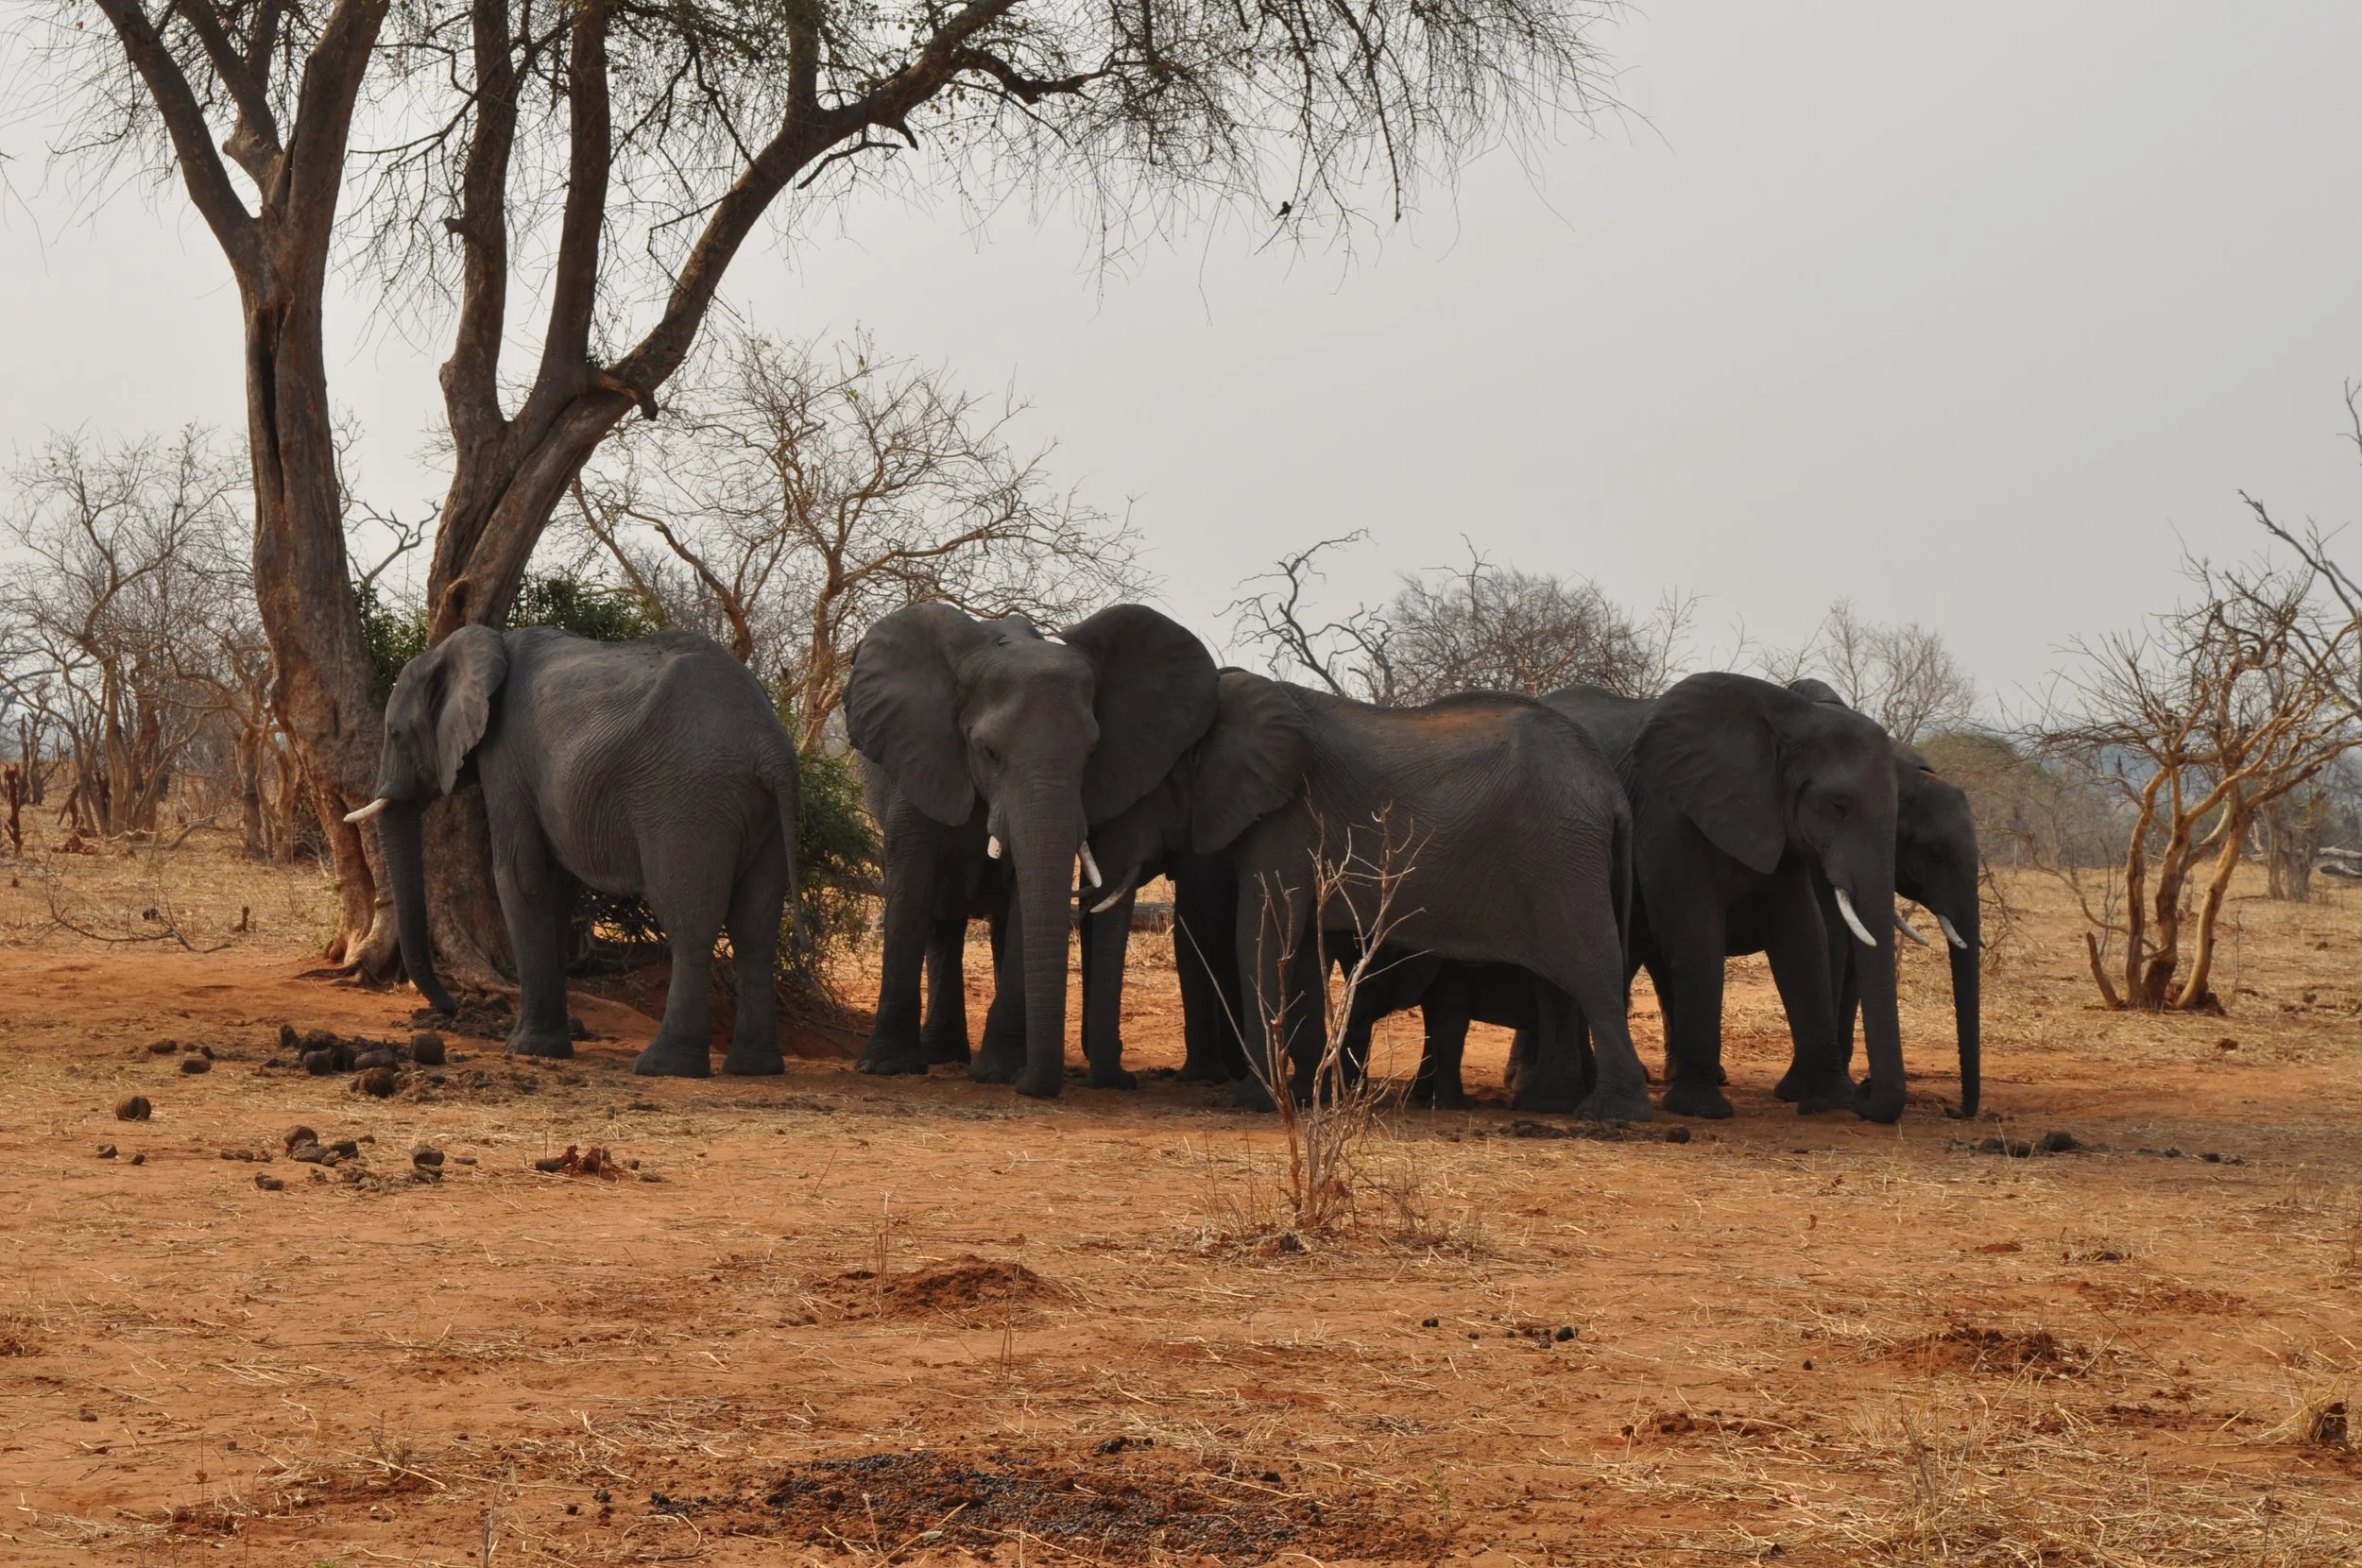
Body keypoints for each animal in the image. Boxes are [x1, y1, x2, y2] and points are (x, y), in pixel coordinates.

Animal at [348, 625, 801, 1077]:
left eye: (395, 733)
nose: (451, 1008)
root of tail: (768, 746)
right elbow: (555, 887)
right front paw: (547, 1046)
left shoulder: (506, 757)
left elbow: (519, 876)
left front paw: (526, 1048)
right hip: (763, 813)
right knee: (755, 928)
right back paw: (754, 1067)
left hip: (687, 800)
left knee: (689, 920)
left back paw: (664, 1065)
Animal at [844, 602, 1218, 1098]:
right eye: (988, 752)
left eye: (1092, 752)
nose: (1030, 1085)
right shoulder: (921, 763)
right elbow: (910, 887)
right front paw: (886, 1068)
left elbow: (1026, 895)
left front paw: (1001, 1073)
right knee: (942, 921)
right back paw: (943, 1056)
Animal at [1085, 673, 1643, 1119]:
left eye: (1141, 789)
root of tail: (1612, 791)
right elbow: (1298, 950)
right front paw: (1310, 1096)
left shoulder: (1288, 820)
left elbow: (1263, 935)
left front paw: (1252, 1102)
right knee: (1564, 985)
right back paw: (1552, 1105)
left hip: (1563, 859)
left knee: (1591, 972)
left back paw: (1608, 1114)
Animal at [1545, 673, 1909, 1123]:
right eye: (1837, 807)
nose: (1866, 1094)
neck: (1789, 719)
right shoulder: (1668, 810)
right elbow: (1697, 933)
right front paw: (1701, 1109)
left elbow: (1803, 938)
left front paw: (1830, 1102)